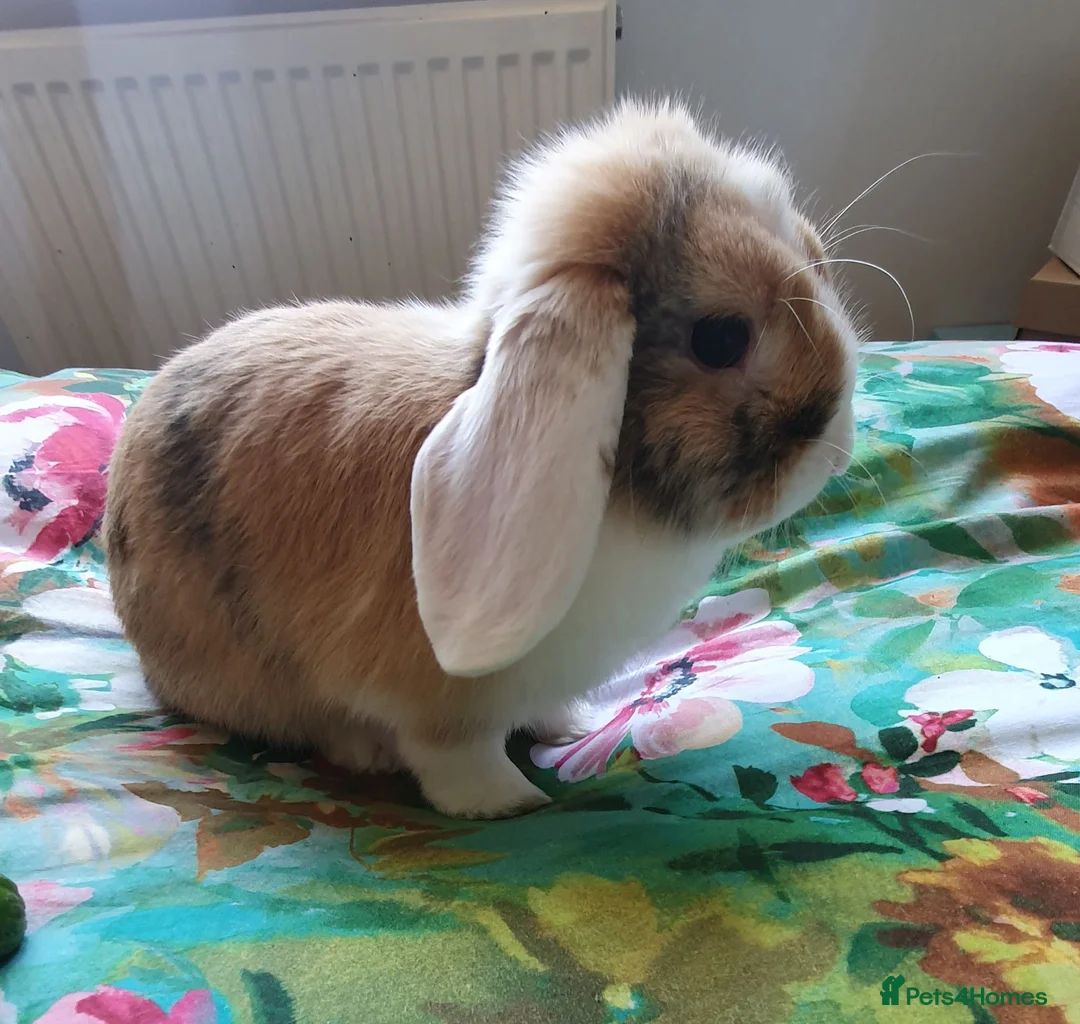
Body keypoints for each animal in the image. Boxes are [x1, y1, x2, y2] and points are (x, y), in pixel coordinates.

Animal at [104, 98, 860, 818]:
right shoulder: (435, 702)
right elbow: (456, 756)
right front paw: (507, 801)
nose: (838, 449)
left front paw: (570, 726)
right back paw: (363, 749)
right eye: (721, 338)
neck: (619, 506)